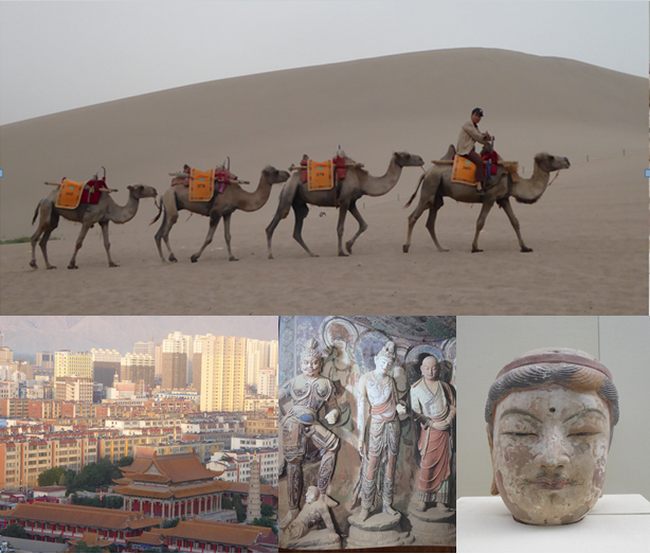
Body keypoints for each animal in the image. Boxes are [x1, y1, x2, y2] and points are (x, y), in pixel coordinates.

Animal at [29, 182, 159, 268]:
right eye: (141, 187)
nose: (155, 190)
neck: (110, 208)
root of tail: (43, 199)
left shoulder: (104, 221)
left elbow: (107, 244)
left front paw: (112, 263)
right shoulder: (88, 220)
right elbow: (79, 242)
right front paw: (71, 264)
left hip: (53, 215)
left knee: (44, 239)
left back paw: (49, 265)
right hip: (46, 208)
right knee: (35, 236)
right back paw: (33, 263)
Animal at [153, 165, 288, 262]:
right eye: (276, 171)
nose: (287, 173)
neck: (238, 196)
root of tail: (163, 194)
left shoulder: (227, 213)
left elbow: (228, 236)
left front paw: (232, 257)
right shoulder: (215, 213)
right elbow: (209, 238)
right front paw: (194, 257)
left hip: (170, 206)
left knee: (158, 234)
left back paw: (164, 258)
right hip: (171, 202)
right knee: (165, 232)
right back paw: (172, 257)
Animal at [264, 149, 422, 256]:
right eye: (406, 155)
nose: (421, 158)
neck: (363, 181)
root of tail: (288, 180)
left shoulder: (352, 202)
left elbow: (363, 224)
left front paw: (349, 246)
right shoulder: (344, 200)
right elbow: (340, 227)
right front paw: (341, 252)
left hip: (298, 202)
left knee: (297, 228)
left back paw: (312, 253)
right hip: (289, 193)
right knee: (274, 222)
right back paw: (271, 254)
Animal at [400, 146, 568, 251]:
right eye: (551, 157)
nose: (567, 160)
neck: (512, 180)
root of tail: (426, 172)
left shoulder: (503, 198)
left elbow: (514, 221)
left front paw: (525, 247)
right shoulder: (490, 198)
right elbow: (480, 221)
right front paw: (475, 247)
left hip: (437, 194)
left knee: (430, 222)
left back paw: (441, 248)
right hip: (430, 187)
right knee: (413, 216)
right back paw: (406, 247)